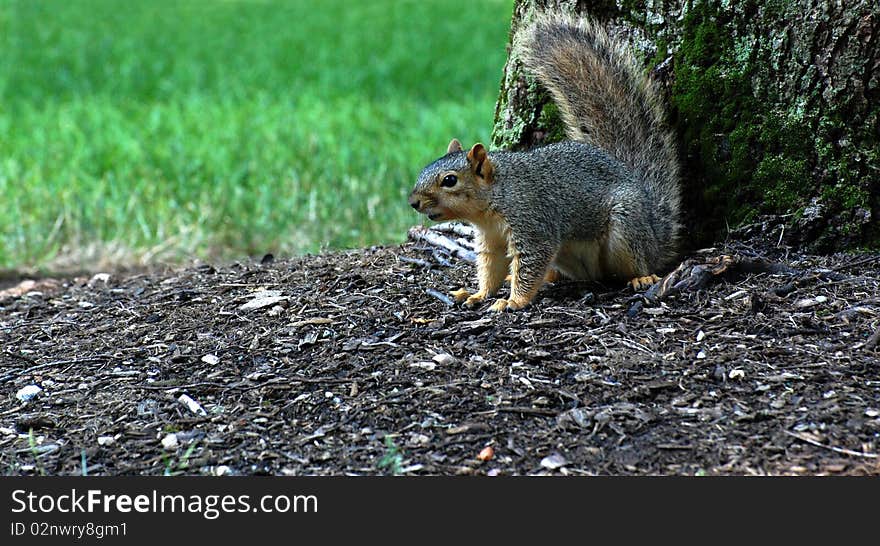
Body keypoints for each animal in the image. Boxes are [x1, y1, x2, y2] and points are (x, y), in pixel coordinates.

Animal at [408, 12, 680, 310]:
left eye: (449, 180)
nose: (413, 202)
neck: (493, 201)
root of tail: (654, 227)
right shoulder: (490, 240)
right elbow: (491, 268)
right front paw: (479, 293)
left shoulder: (532, 222)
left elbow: (531, 263)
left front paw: (513, 301)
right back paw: (548, 277)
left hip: (627, 225)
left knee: (638, 261)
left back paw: (642, 277)